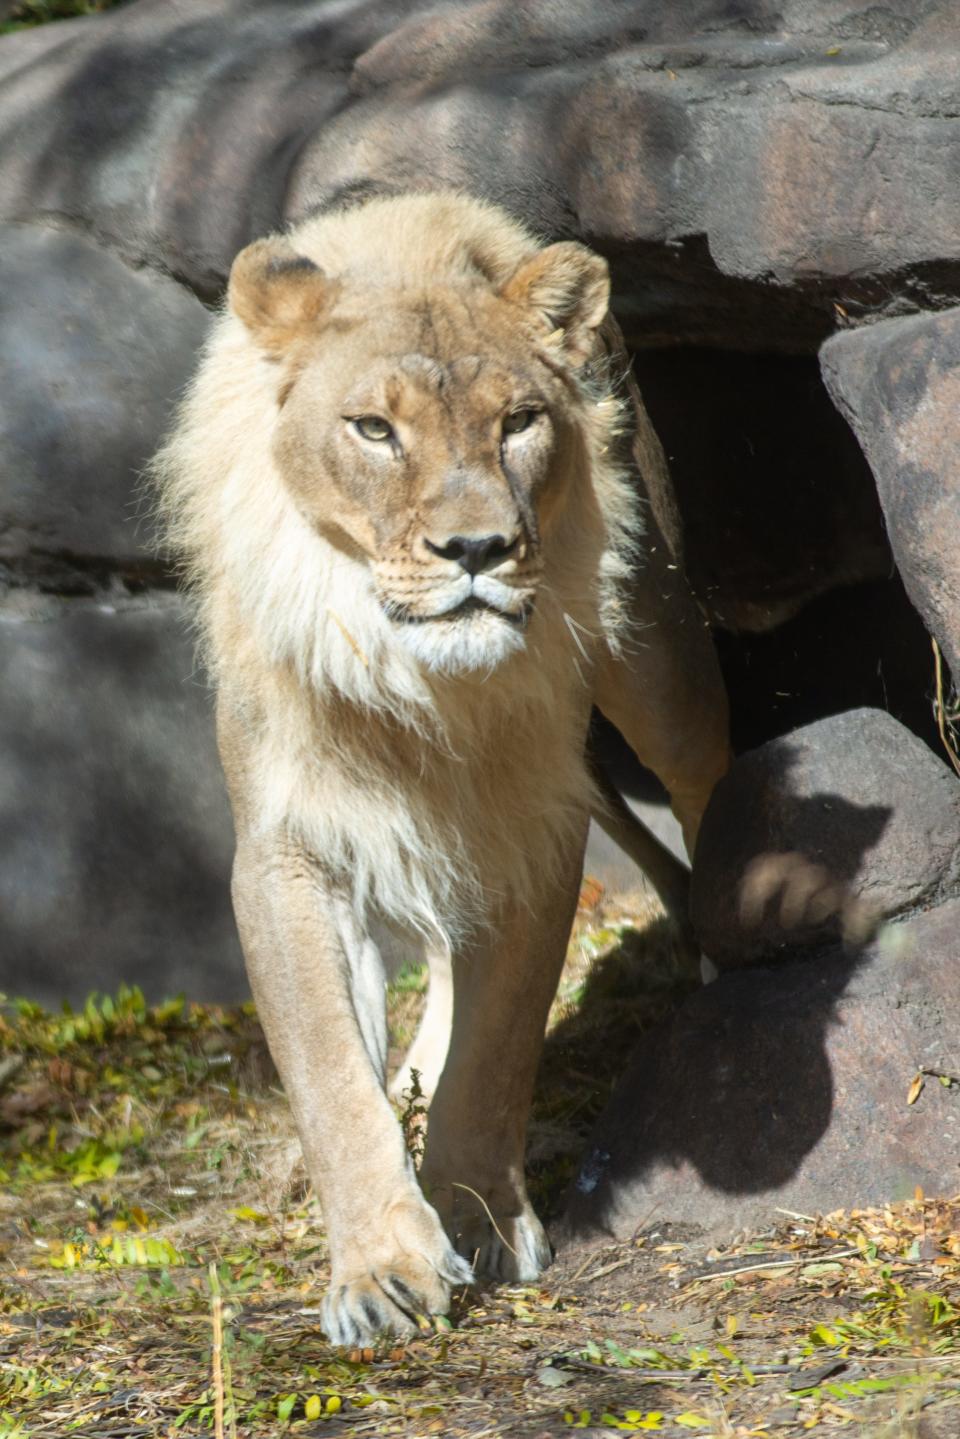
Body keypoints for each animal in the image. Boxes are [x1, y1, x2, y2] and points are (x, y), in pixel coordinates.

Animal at [154, 188, 731, 1335]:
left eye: (519, 422)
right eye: (375, 428)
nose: (478, 550)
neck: (415, 685)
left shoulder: (537, 825)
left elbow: (499, 1049)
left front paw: (478, 1219)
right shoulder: (286, 849)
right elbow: (330, 1069)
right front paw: (382, 1266)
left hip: (660, 649)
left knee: (708, 777)